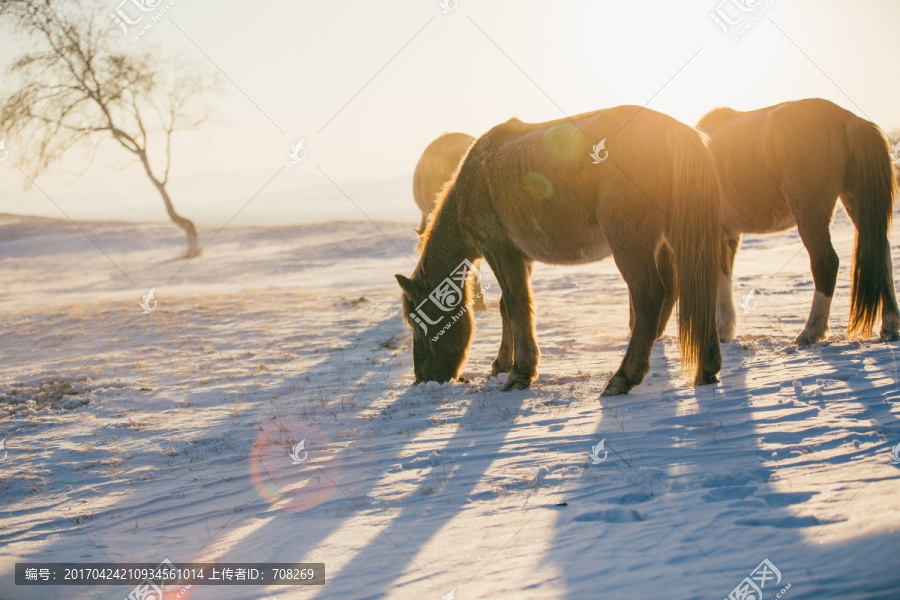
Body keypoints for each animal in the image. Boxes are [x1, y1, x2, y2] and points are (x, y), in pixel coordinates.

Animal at [394, 106, 724, 398]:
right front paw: (503, 363)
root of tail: (674, 130)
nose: (423, 377)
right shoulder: (520, 258)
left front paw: (520, 372)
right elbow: (507, 308)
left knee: (650, 297)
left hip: (630, 243)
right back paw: (707, 367)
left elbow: (516, 305)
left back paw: (623, 377)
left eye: (419, 322)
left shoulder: (499, 251)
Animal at [696, 99, 900, 346]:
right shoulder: (728, 233)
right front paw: (725, 329)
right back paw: (890, 325)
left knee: (826, 262)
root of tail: (845, 119)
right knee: (881, 253)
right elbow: (724, 275)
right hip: (857, 202)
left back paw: (811, 331)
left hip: (810, 214)